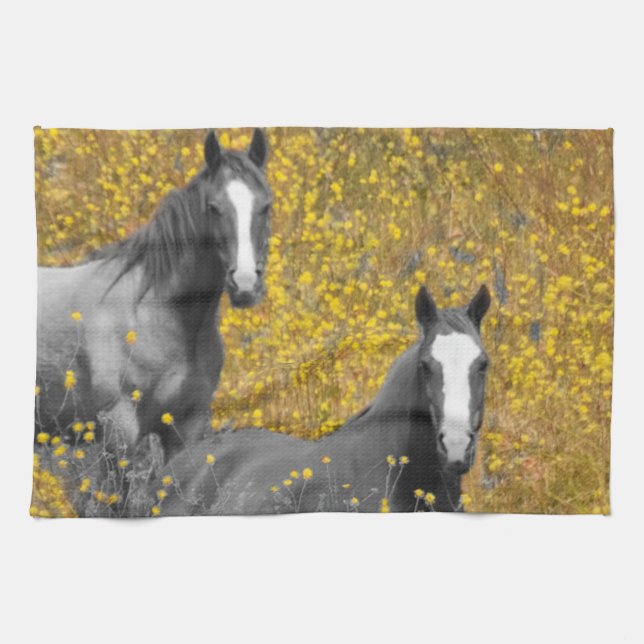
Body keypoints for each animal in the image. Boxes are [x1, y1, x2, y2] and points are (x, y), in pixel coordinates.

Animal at [35, 129, 272, 462]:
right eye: (214, 208)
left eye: (266, 206)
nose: (246, 283)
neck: (155, 312)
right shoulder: (119, 429)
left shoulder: (185, 427)